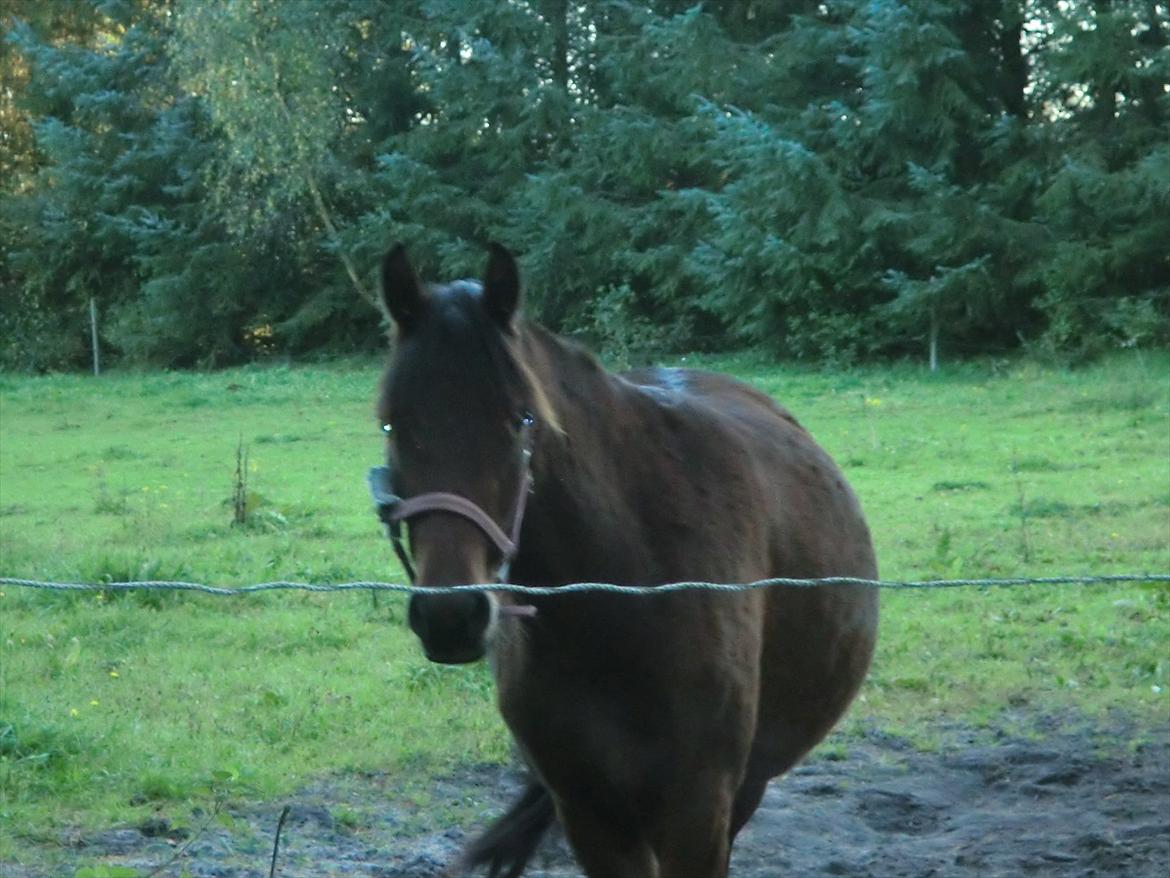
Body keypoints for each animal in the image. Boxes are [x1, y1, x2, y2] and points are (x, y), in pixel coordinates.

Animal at [370, 243, 879, 877]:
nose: (451, 615)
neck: (623, 596)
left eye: (520, 420)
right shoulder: (588, 810)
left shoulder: (699, 808)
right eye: (392, 423)